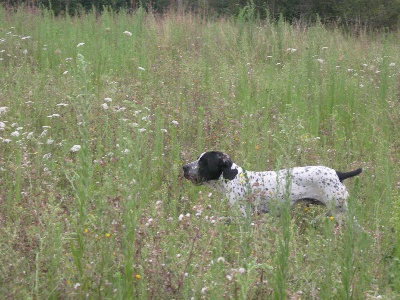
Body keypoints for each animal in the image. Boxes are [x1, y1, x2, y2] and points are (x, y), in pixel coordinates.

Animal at [184, 151, 362, 224]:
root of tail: (338, 174)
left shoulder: (243, 217)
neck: (232, 177)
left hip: (341, 213)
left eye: (203, 162)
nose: (184, 167)